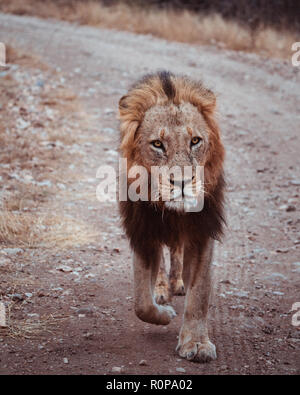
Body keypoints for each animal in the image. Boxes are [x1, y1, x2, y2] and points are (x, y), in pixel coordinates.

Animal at [118, 72, 224, 366]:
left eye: (195, 141)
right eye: (157, 144)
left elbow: (199, 295)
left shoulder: (201, 233)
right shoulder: (143, 234)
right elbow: (141, 303)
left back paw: (177, 283)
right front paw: (163, 313)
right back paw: (163, 290)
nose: (183, 183)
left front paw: (197, 343)